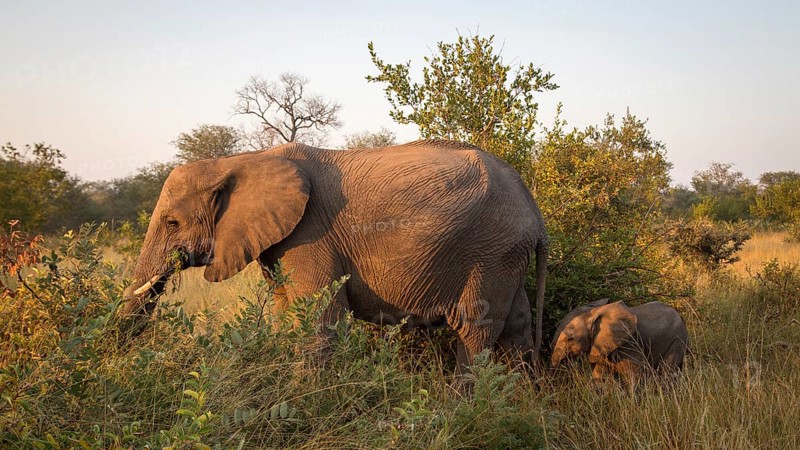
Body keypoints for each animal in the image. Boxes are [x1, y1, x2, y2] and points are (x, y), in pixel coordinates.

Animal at [122, 139, 548, 371]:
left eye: (172, 223)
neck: (241, 160)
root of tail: (535, 211)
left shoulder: (310, 235)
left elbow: (319, 319)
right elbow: (287, 313)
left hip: (490, 250)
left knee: (475, 328)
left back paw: (464, 409)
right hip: (508, 255)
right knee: (517, 325)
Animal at [550, 300, 688, 384]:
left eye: (570, 339)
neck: (593, 314)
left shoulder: (630, 344)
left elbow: (633, 377)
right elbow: (598, 377)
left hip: (677, 341)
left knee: (667, 372)